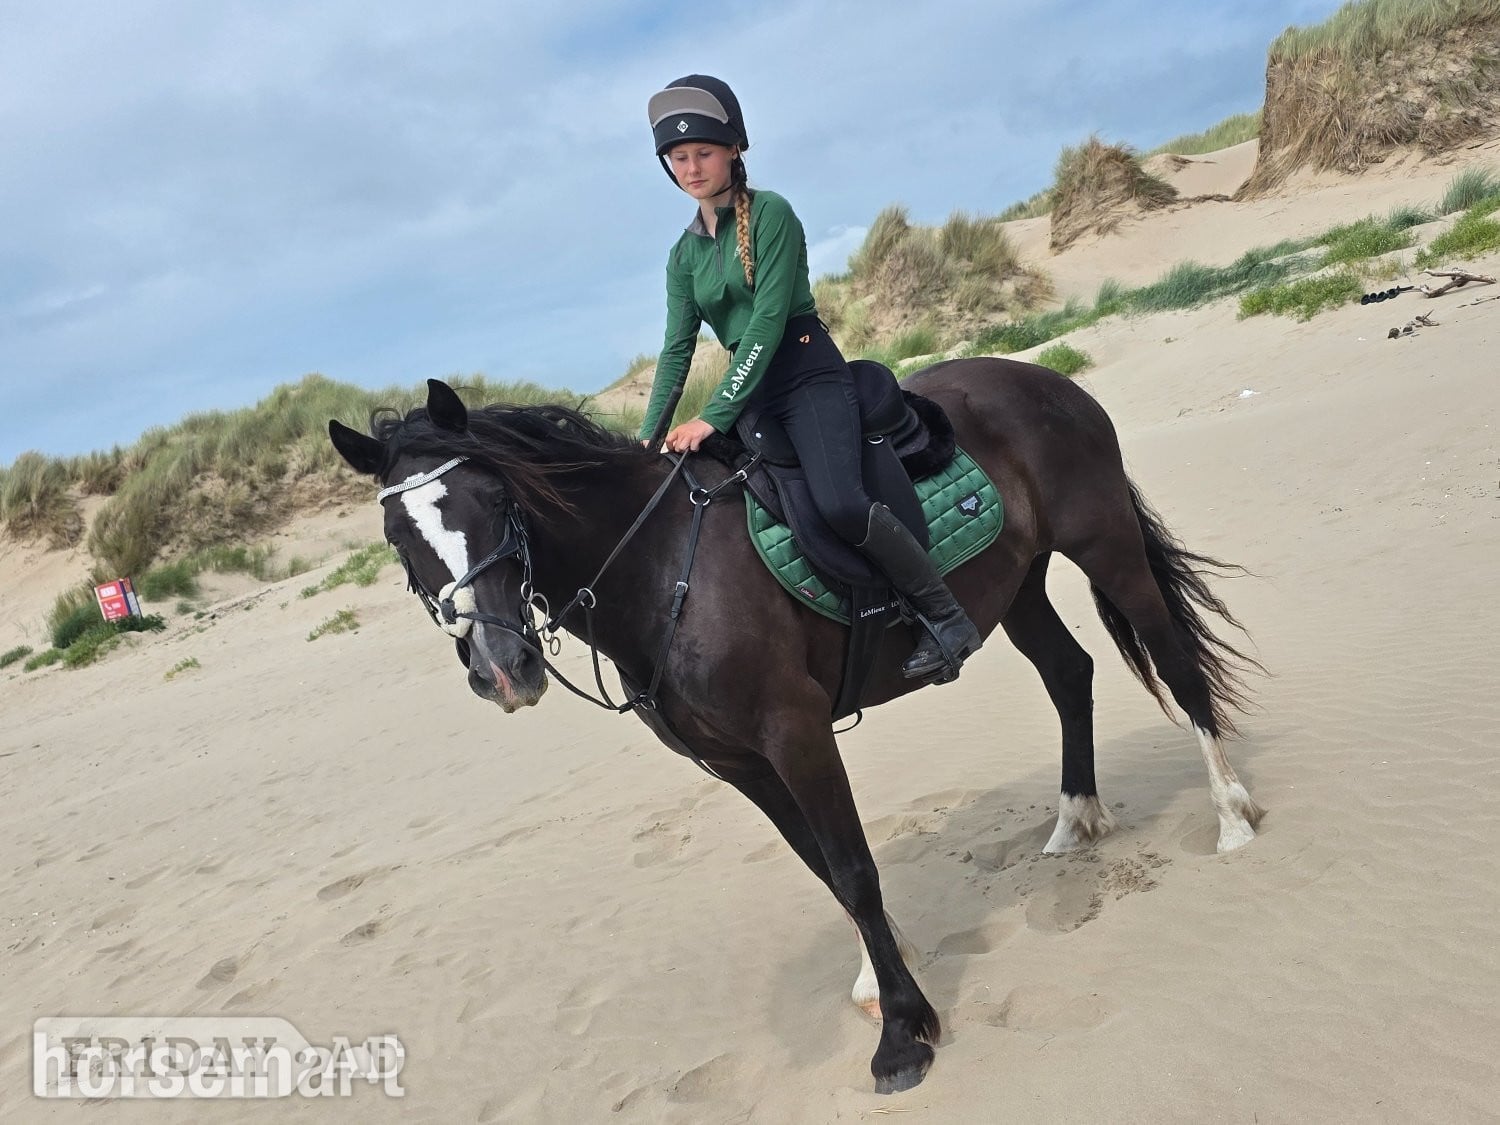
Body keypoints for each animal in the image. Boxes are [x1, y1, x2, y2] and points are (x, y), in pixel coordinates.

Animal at [327, 359, 1264, 1094]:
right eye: (397, 533)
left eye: (494, 498)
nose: (502, 668)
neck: (661, 567)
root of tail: (1045, 379)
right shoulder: (740, 763)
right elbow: (824, 870)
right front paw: (885, 983)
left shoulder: (796, 732)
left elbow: (852, 869)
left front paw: (902, 1036)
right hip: (1016, 585)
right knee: (1070, 676)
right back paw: (1074, 817)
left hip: (1104, 543)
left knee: (1176, 665)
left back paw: (1230, 817)